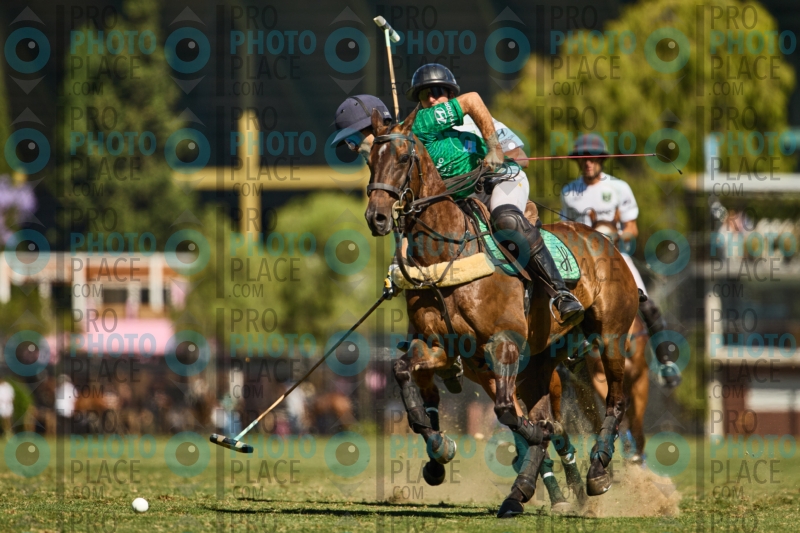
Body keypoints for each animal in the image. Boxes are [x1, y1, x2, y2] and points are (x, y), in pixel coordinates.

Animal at [363, 107, 639, 517]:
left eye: (401, 157)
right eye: (369, 160)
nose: (377, 217)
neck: (447, 251)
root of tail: (604, 240)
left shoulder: (503, 343)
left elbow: (509, 411)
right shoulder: (443, 347)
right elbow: (402, 372)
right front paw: (440, 447)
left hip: (611, 335)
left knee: (615, 399)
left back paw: (598, 470)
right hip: (540, 359)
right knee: (545, 411)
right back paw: (522, 491)